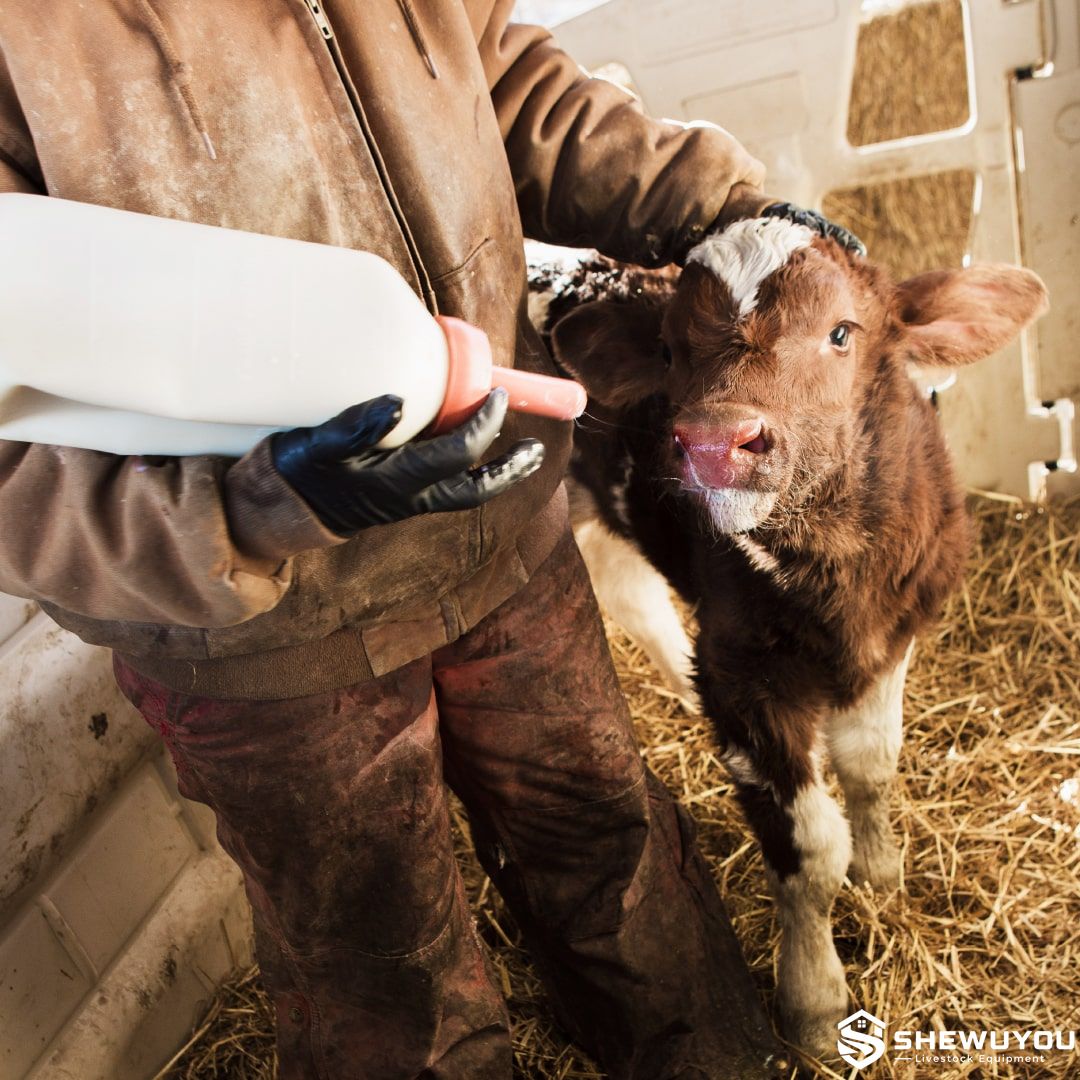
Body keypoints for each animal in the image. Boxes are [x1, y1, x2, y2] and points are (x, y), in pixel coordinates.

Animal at [527, 222, 1048, 1057]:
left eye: (841, 332)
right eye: (669, 349)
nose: (714, 444)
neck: (837, 577)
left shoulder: (894, 635)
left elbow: (872, 764)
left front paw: (882, 872)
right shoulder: (748, 682)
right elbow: (810, 851)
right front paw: (813, 1002)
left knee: (629, 590)